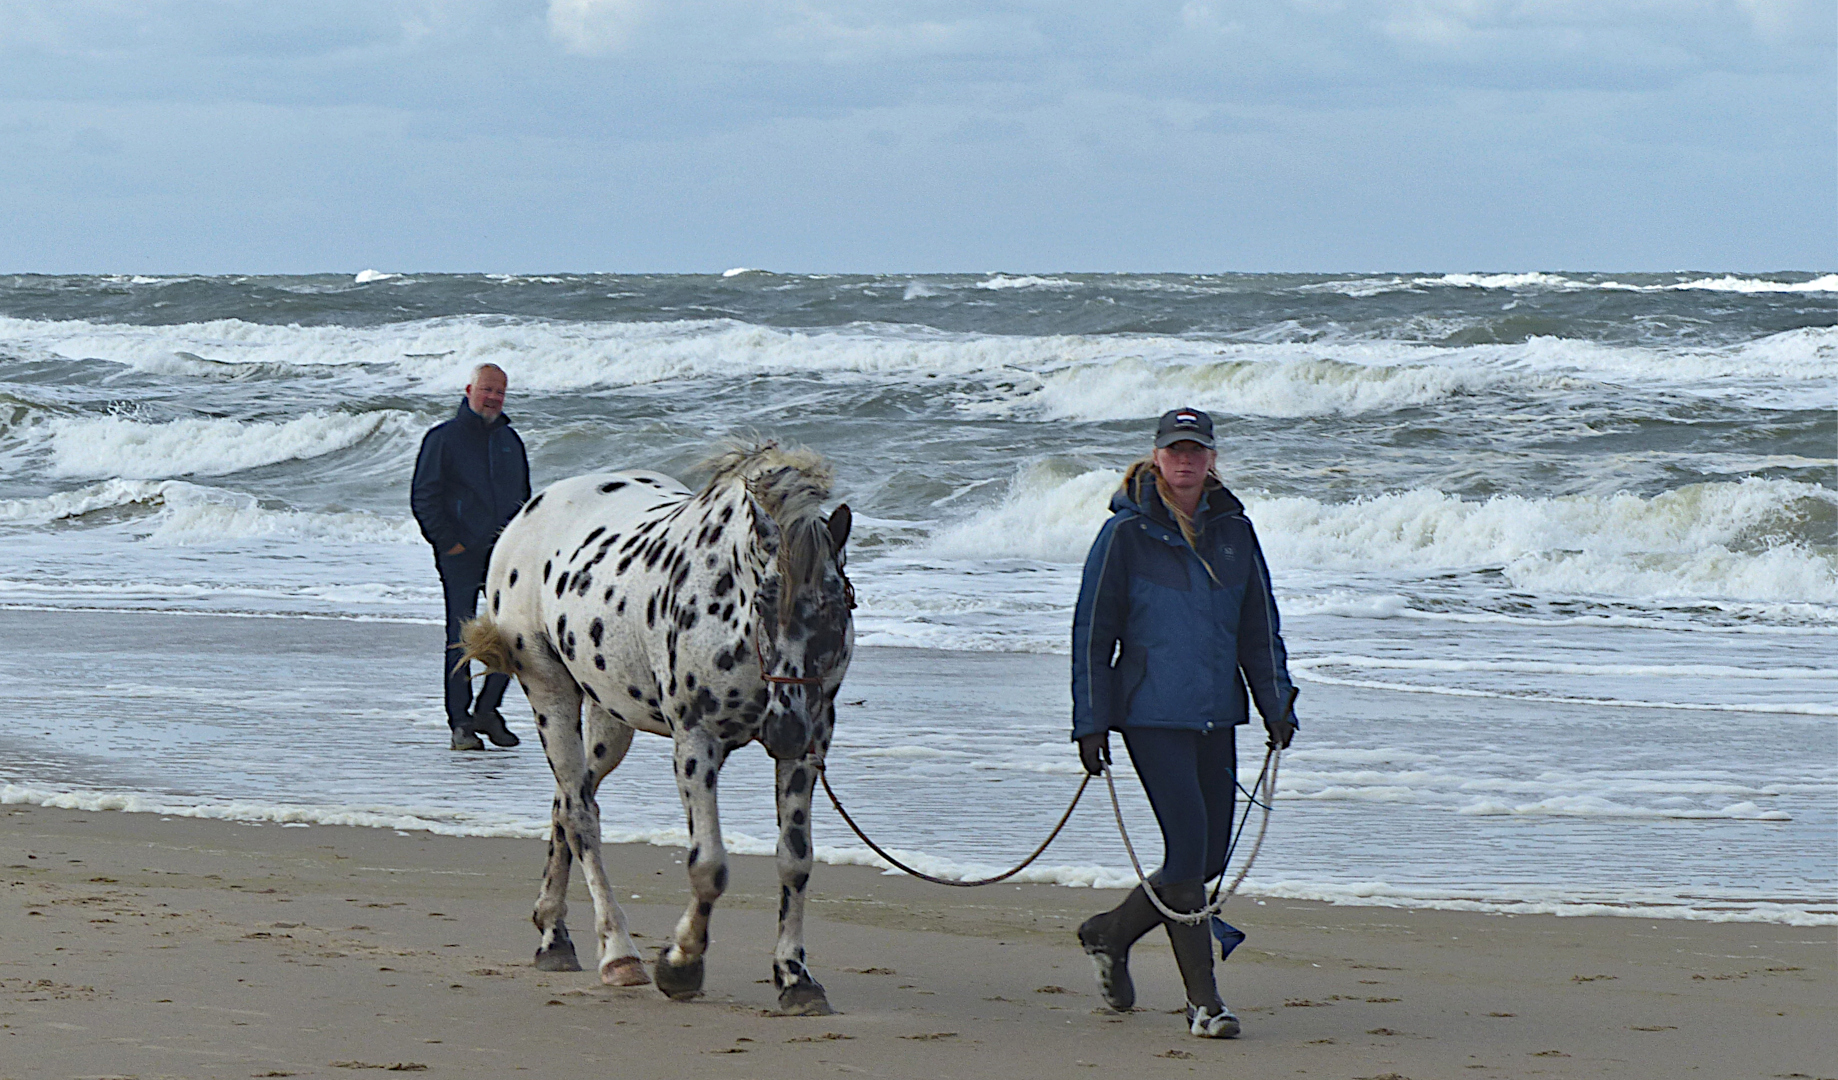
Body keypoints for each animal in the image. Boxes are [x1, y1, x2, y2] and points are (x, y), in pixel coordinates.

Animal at [459, 442, 860, 1013]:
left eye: (834, 604)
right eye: (763, 601)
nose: (783, 730)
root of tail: (528, 512)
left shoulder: (810, 744)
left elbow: (795, 862)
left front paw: (795, 978)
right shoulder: (696, 741)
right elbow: (709, 866)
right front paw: (680, 965)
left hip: (610, 720)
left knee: (566, 802)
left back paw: (553, 935)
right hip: (549, 693)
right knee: (580, 816)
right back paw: (617, 953)